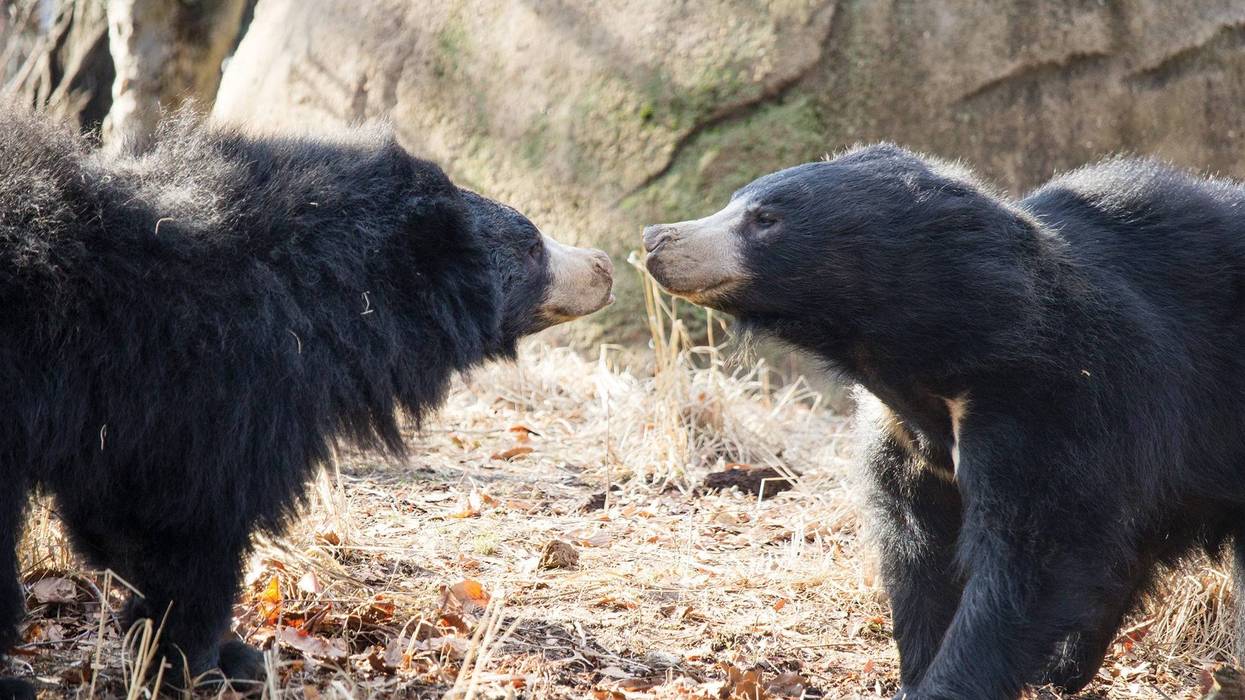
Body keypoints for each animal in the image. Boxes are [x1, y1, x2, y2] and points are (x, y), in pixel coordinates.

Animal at [0, 110, 613, 698]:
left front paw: (219, 655)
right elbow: (186, 521)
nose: (605, 265)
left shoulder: (135, 406)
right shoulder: (214, 377)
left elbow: (122, 513)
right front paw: (204, 666)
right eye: (532, 247)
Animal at [642, 144, 1245, 699]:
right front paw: (917, 673)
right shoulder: (905, 435)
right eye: (733, 202)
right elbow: (917, 549)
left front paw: (951, 682)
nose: (655, 238)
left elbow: (1035, 553)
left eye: (766, 219)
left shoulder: (1056, 399)